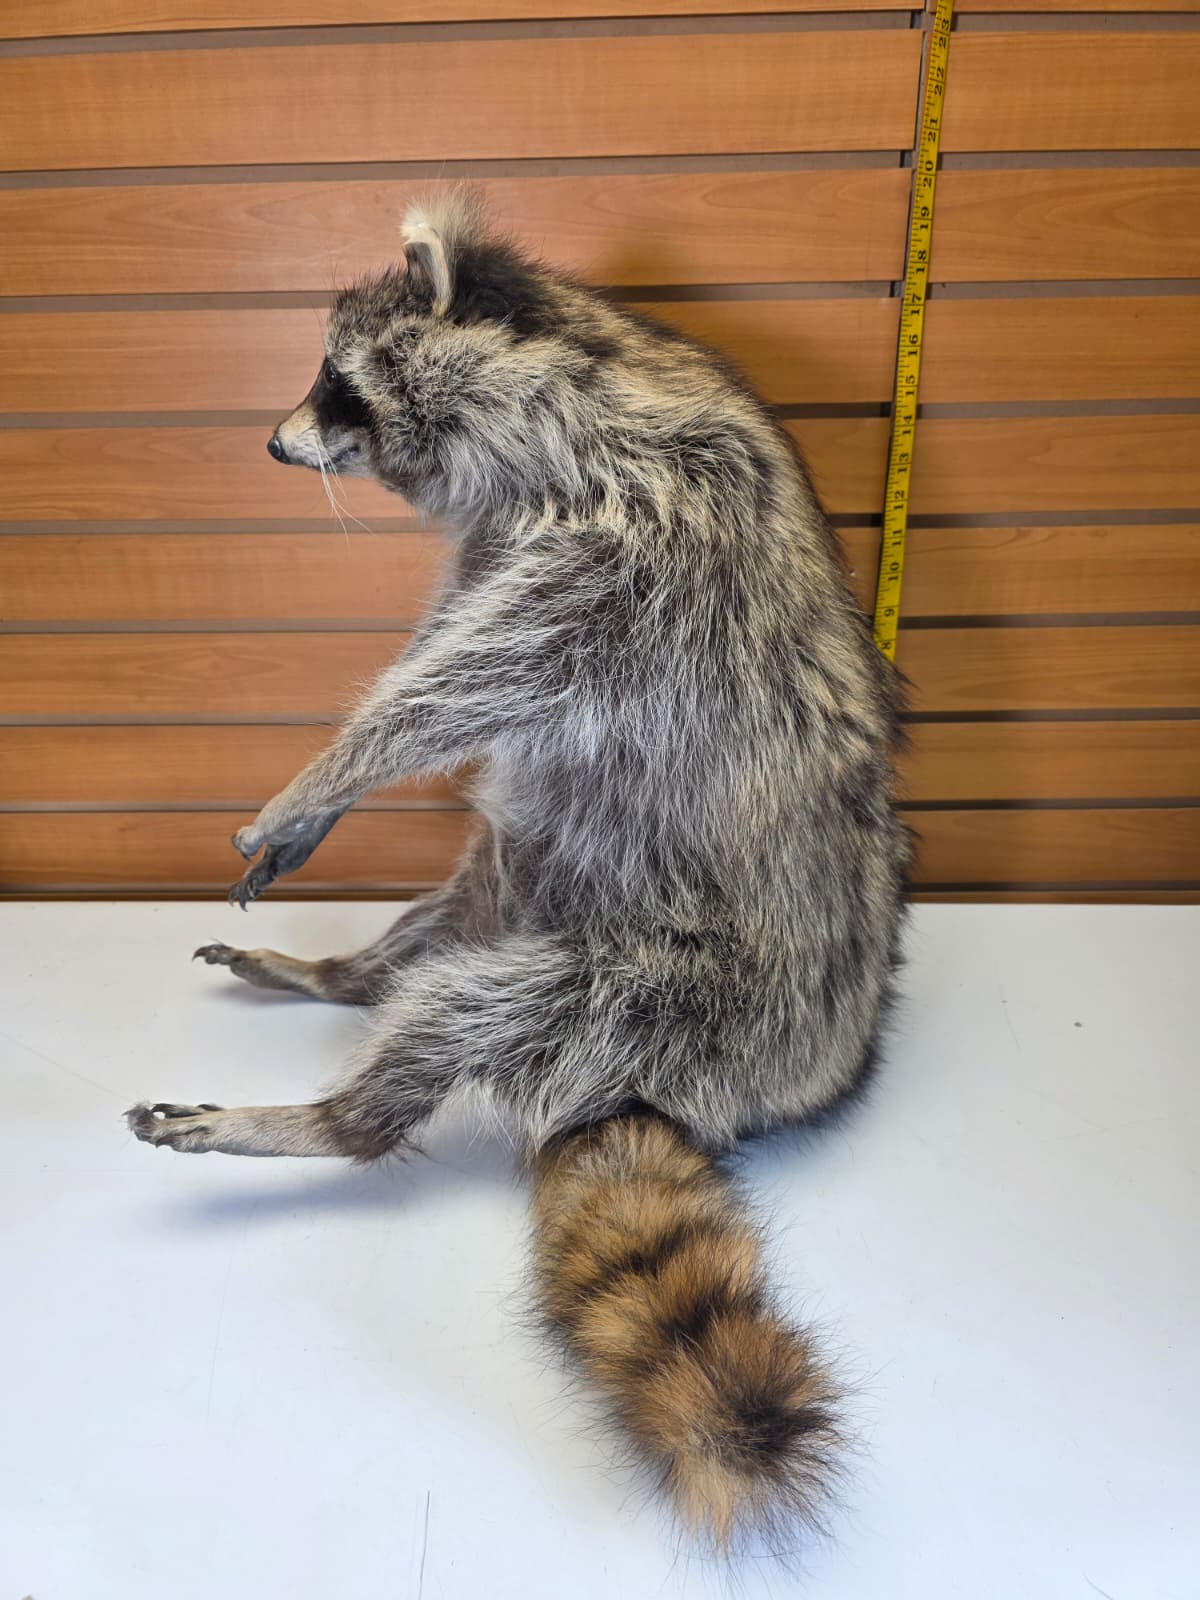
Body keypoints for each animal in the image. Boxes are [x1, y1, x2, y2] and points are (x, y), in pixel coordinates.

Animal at [127, 190, 909, 1549]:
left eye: (336, 383)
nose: (274, 445)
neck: (578, 379)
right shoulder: (503, 541)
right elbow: (444, 648)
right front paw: (327, 816)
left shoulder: (639, 547)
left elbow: (464, 684)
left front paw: (328, 767)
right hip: (527, 882)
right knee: (460, 899)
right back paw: (348, 973)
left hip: (685, 998)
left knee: (489, 1010)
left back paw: (335, 1113)